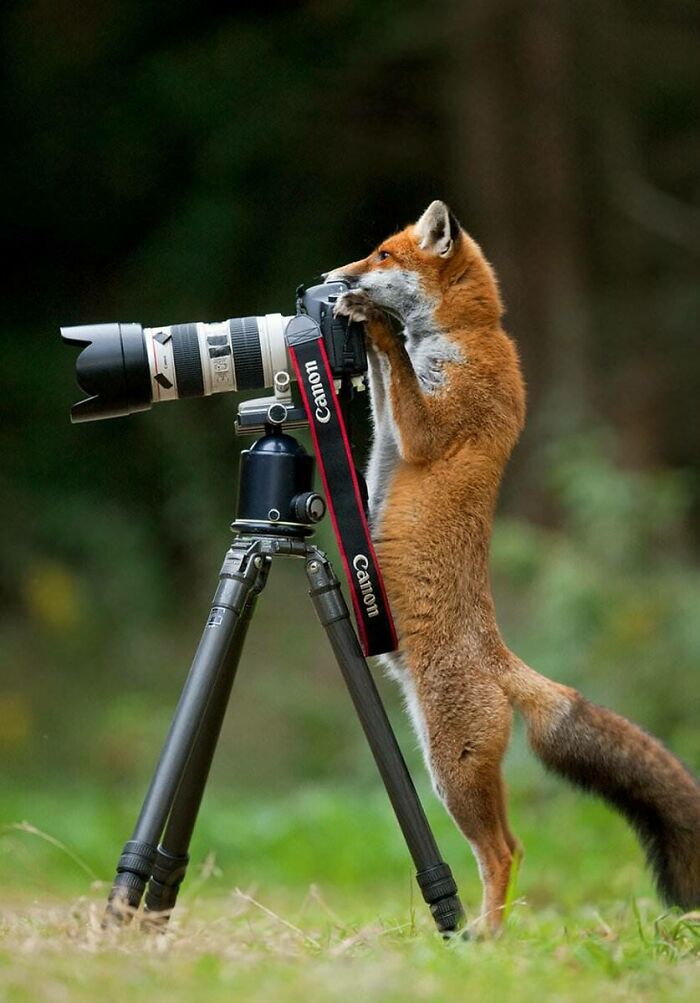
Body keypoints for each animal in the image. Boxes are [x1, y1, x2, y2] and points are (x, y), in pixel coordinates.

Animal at [328, 200, 700, 934]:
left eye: (381, 256)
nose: (331, 278)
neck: (467, 336)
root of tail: (500, 658)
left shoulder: (434, 426)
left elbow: (399, 372)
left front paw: (375, 324)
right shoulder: (393, 423)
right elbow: (384, 391)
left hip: (450, 768)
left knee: (505, 850)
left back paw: (488, 935)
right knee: (511, 848)